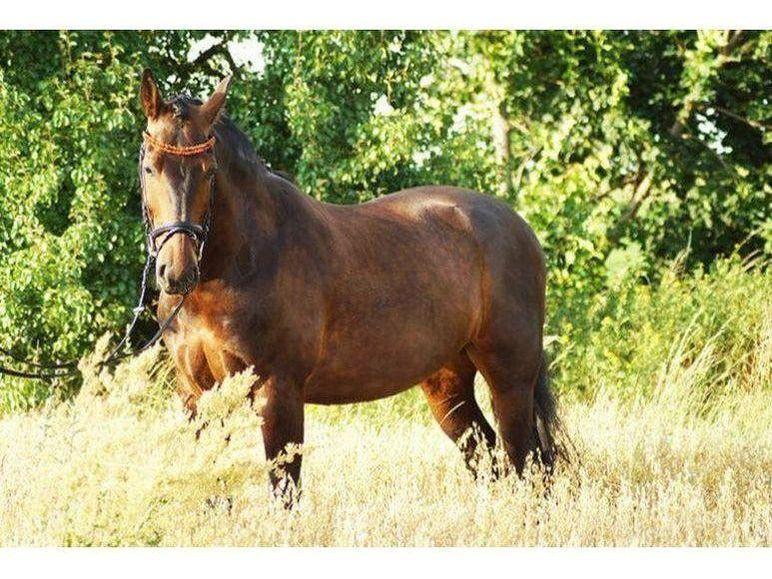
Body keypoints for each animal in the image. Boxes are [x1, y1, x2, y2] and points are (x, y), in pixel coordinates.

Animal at [138, 70, 560, 502]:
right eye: (150, 167)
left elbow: (284, 493)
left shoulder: (278, 394)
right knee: (489, 457)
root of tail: (518, 225)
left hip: (510, 377)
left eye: (208, 171)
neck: (237, 266)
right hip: (448, 384)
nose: (177, 271)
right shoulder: (197, 398)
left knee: (528, 463)